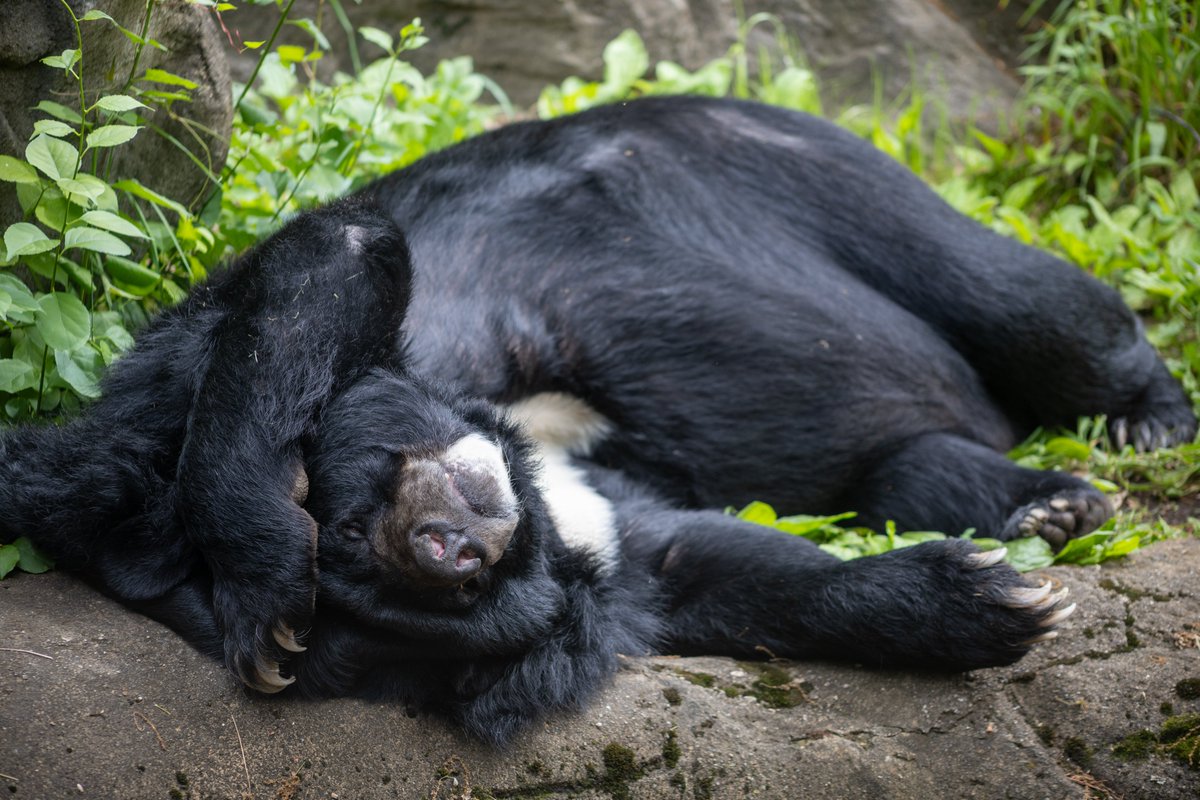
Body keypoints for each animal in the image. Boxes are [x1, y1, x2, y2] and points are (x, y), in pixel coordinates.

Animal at [1, 96, 1194, 744]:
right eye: (369, 576)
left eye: (342, 494)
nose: (446, 543)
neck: (531, 454)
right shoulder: (604, 531)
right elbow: (701, 565)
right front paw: (992, 599)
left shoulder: (432, 288)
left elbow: (334, 257)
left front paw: (260, 582)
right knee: (906, 460)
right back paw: (1042, 508)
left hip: (793, 169)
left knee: (1028, 302)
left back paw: (1142, 423)